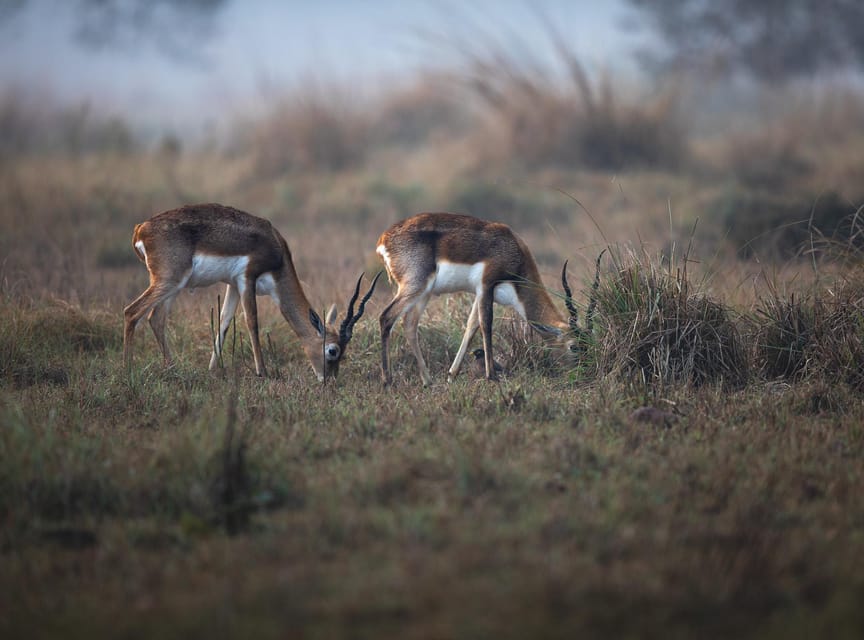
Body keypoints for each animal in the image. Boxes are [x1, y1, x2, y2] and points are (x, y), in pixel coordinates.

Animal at [123, 202, 380, 378]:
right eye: (333, 350)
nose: (329, 379)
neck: (277, 249)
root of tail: (140, 229)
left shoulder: (232, 285)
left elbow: (224, 322)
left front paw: (212, 370)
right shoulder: (247, 278)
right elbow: (252, 322)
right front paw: (262, 372)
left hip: (174, 286)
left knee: (156, 318)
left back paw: (173, 368)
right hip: (169, 281)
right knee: (131, 312)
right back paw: (129, 371)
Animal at [374, 212, 604, 384]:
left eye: (590, 343)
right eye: (574, 346)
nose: (585, 372)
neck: (513, 250)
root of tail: (384, 239)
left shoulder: (479, 292)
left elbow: (471, 326)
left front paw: (452, 375)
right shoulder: (487, 285)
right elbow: (486, 324)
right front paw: (491, 375)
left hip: (424, 293)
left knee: (409, 324)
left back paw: (427, 381)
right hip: (415, 286)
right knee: (386, 317)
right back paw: (387, 380)